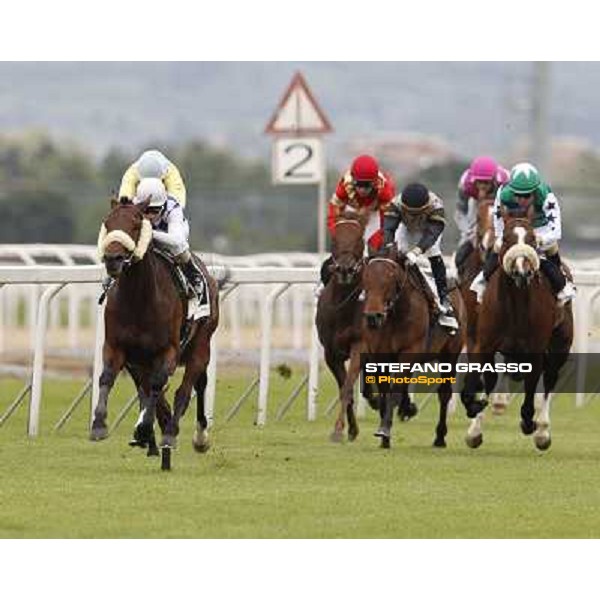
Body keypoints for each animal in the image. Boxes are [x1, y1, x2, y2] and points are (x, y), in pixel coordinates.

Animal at [89, 197, 220, 468]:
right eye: (107, 223)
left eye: (137, 224)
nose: (113, 258)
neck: (139, 299)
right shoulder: (118, 349)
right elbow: (108, 378)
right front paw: (99, 424)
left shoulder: (168, 351)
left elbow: (160, 386)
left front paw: (148, 429)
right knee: (155, 391)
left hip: (200, 345)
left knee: (188, 388)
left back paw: (183, 435)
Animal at [340, 251, 466, 448]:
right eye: (365, 279)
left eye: (390, 279)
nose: (373, 317)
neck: (395, 314)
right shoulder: (380, 356)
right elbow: (385, 391)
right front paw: (385, 436)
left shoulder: (409, 352)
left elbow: (395, 391)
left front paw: (385, 430)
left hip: (450, 355)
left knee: (444, 393)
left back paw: (439, 437)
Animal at [462, 216, 576, 450]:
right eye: (506, 238)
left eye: (532, 239)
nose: (522, 272)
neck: (515, 304)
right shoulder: (482, 343)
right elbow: (482, 382)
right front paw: (475, 419)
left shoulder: (535, 348)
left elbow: (532, 387)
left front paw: (529, 421)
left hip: (561, 344)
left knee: (550, 378)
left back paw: (542, 431)